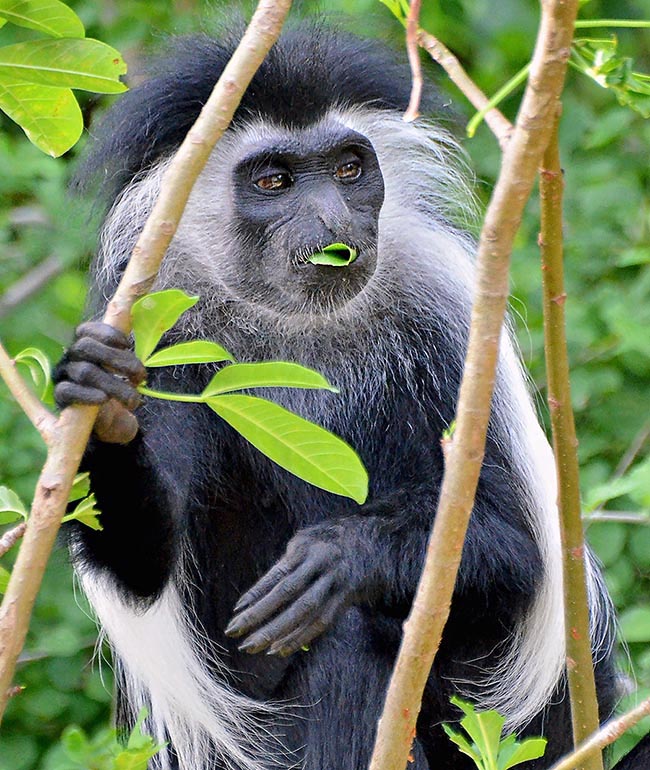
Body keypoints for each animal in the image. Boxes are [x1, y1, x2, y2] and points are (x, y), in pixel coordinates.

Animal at [53, 16, 620, 768]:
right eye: (274, 180)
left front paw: (346, 557)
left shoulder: (448, 319)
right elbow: (144, 567)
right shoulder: (162, 337)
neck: (300, 329)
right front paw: (108, 410)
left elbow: (518, 549)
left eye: (349, 168)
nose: (331, 222)